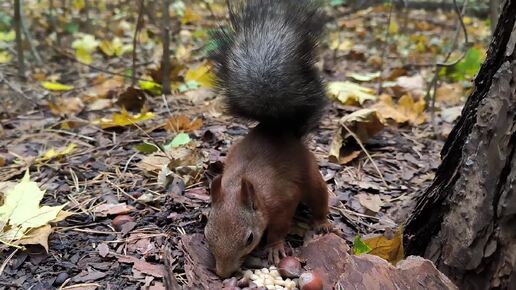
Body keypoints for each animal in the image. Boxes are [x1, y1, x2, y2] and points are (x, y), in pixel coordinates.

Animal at [203, 0, 330, 278]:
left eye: (250, 239)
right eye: (207, 234)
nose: (224, 273)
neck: (242, 184)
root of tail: (278, 127)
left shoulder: (284, 199)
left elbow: (279, 227)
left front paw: (274, 246)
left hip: (310, 174)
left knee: (320, 195)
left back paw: (322, 221)